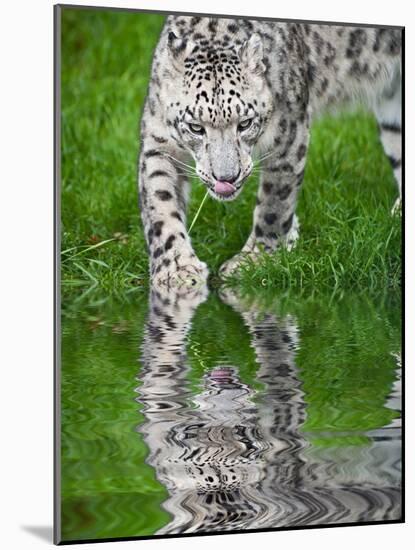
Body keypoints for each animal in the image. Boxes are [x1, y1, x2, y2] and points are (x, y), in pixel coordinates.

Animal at [139, 15, 404, 286]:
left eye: (245, 123)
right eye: (195, 127)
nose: (226, 178)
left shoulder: (289, 133)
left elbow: (274, 202)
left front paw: (254, 259)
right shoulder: (159, 144)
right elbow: (160, 204)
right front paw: (176, 269)